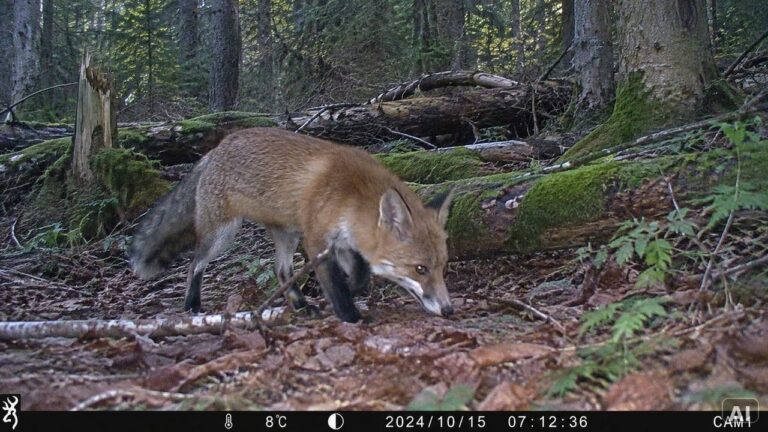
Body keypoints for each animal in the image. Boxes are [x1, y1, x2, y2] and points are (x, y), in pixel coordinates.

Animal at [129, 127, 455, 323]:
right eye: (420, 269)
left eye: (442, 267)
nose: (449, 310)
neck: (350, 196)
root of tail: (215, 150)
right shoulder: (316, 239)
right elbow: (334, 283)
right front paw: (350, 315)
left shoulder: (344, 242)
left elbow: (360, 274)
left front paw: (350, 290)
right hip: (223, 234)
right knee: (193, 264)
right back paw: (191, 304)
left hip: (287, 234)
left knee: (281, 270)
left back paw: (300, 305)